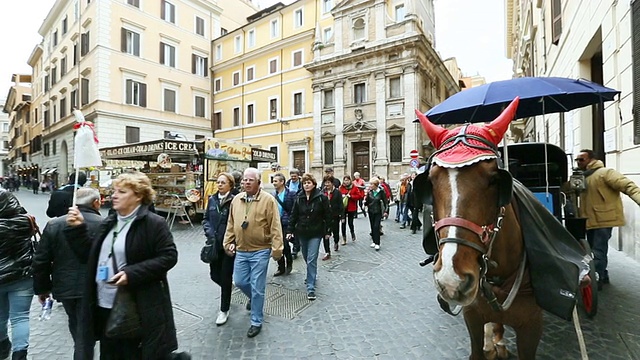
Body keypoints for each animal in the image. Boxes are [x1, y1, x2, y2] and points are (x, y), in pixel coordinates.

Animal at [412, 97, 544, 358]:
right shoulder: (472, 316)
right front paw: (489, 343)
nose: (451, 278)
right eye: (429, 181)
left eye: (495, 180)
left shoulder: (532, 326)